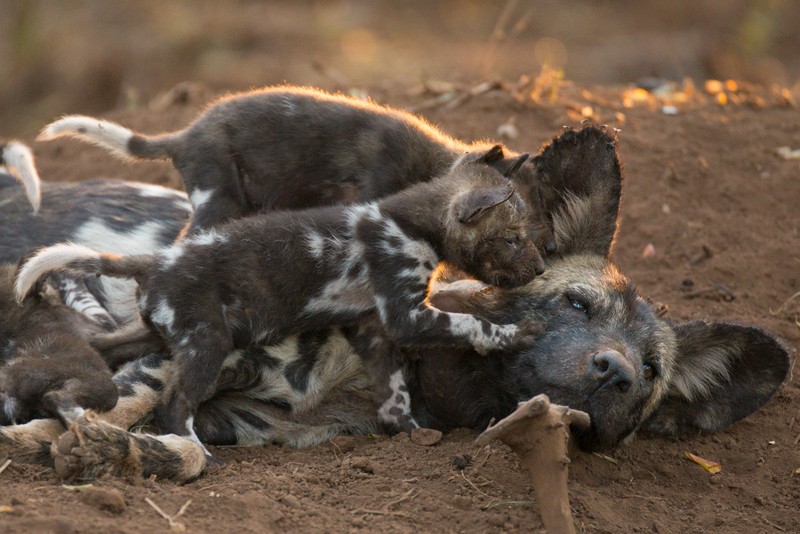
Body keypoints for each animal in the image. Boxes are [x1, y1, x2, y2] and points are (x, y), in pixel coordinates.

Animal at [18, 154, 544, 444]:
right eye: (514, 239)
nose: (540, 269)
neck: (412, 223)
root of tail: (157, 263)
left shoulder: (374, 330)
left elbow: (393, 393)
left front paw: (410, 434)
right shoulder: (407, 316)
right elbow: (472, 325)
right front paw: (517, 333)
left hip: (150, 334)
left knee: (104, 351)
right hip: (207, 343)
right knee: (173, 406)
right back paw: (198, 453)